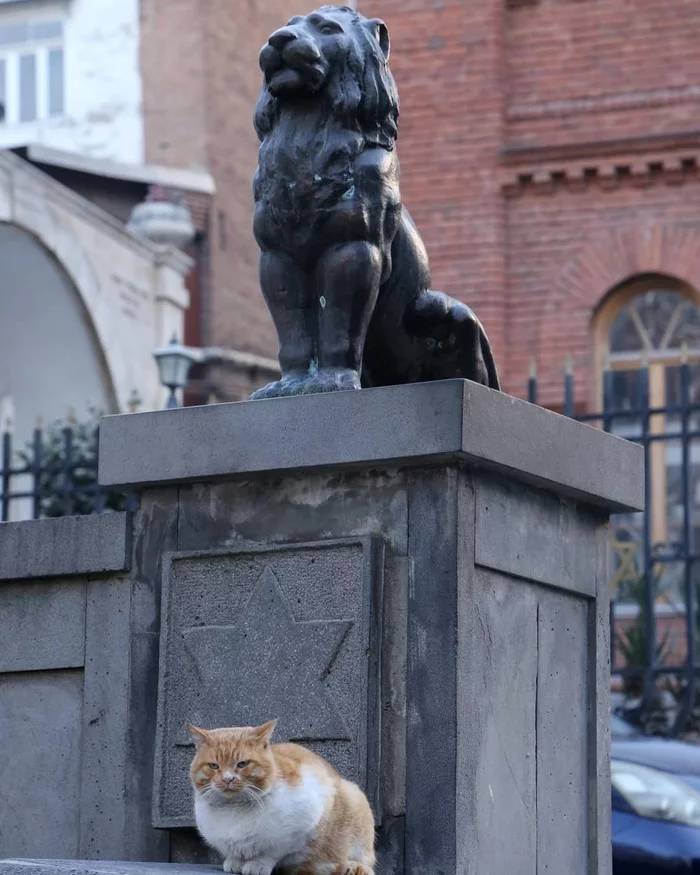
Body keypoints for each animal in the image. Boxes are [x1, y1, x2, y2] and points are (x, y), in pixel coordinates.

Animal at [185, 720, 372, 875]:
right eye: (213, 766)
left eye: (242, 764)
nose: (227, 779)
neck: (233, 809)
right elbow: (234, 853)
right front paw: (235, 861)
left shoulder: (301, 828)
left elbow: (272, 852)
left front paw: (258, 864)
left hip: (354, 801)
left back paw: (351, 867)